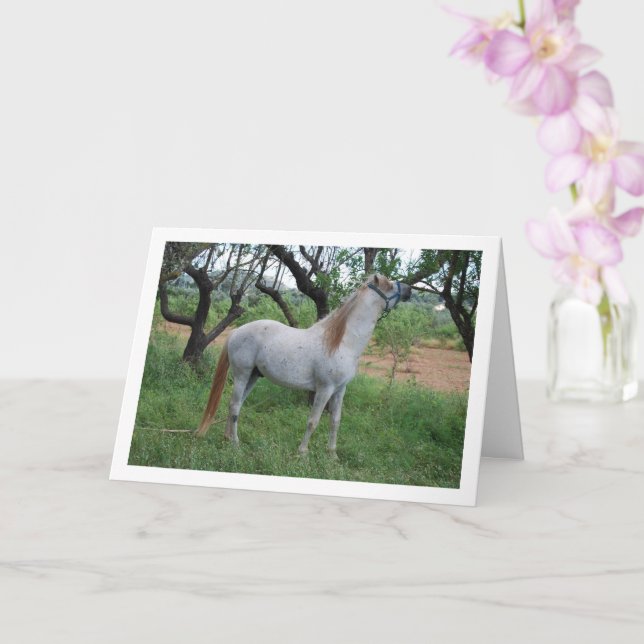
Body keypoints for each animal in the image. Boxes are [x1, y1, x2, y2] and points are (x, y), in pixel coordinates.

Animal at [195, 274, 412, 455]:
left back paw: (227, 438)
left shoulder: (340, 390)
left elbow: (335, 421)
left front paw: (332, 454)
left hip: (253, 377)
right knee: (234, 406)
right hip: (242, 374)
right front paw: (303, 452)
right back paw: (235, 443)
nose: (409, 290)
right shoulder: (325, 389)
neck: (342, 342)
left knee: (236, 405)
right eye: (389, 285)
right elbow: (313, 421)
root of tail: (235, 332)